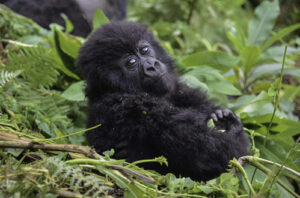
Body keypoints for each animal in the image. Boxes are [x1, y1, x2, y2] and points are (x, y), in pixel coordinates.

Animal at [77, 21, 248, 181]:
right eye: (131, 62)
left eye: (144, 50)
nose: (152, 65)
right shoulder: (132, 106)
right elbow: (217, 153)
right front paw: (232, 127)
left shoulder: (180, 89)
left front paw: (223, 118)